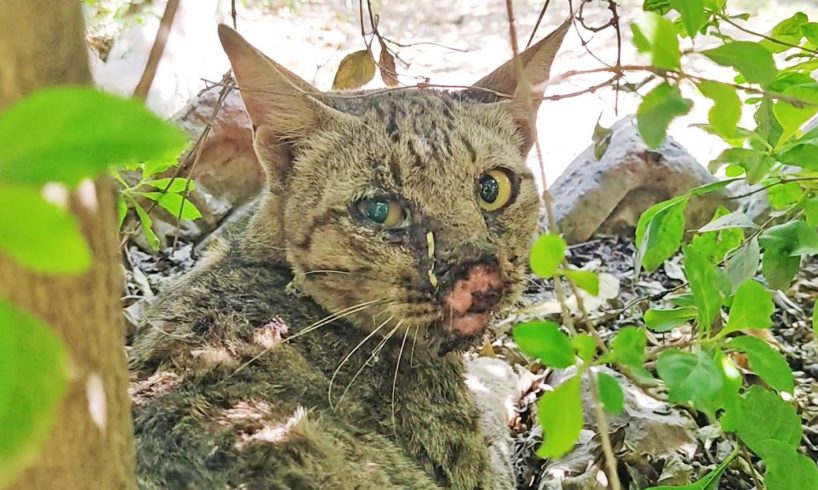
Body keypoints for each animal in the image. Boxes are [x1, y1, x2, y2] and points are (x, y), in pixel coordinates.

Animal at [131, 22, 568, 490]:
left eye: (493, 189)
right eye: (378, 210)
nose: (481, 277)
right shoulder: (483, 474)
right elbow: (491, 413)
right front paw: (508, 370)